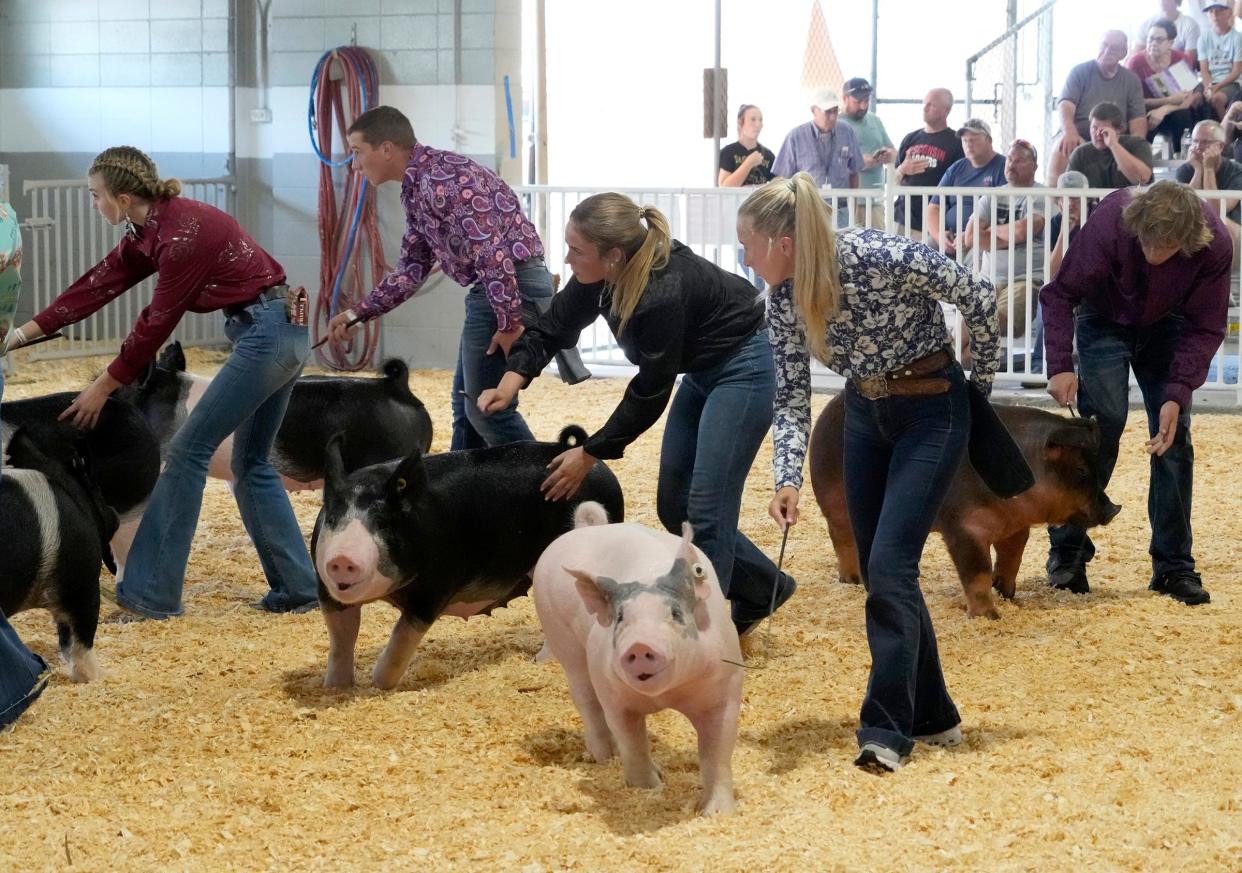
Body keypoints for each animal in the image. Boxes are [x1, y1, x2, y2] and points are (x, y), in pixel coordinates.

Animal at [310, 427, 621, 695]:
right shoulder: (327, 592)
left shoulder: (436, 587)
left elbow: (401, 640)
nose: (342, 558)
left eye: (383, 523)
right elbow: (341, 640)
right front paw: (334, 688)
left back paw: (543, 661)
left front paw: (378, 682)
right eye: (333, 519)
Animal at [531, 509, 740, 814]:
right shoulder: (613, 695)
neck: (665, 696)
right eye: (621, 617)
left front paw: (716, 813)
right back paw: (604, 756)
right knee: (585, 697)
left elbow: (717, 752)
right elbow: (632, 741)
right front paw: (649, 789)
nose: (640, 645)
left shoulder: (724, 691)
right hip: (560, 634)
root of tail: (585, 528)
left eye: (675, 613)